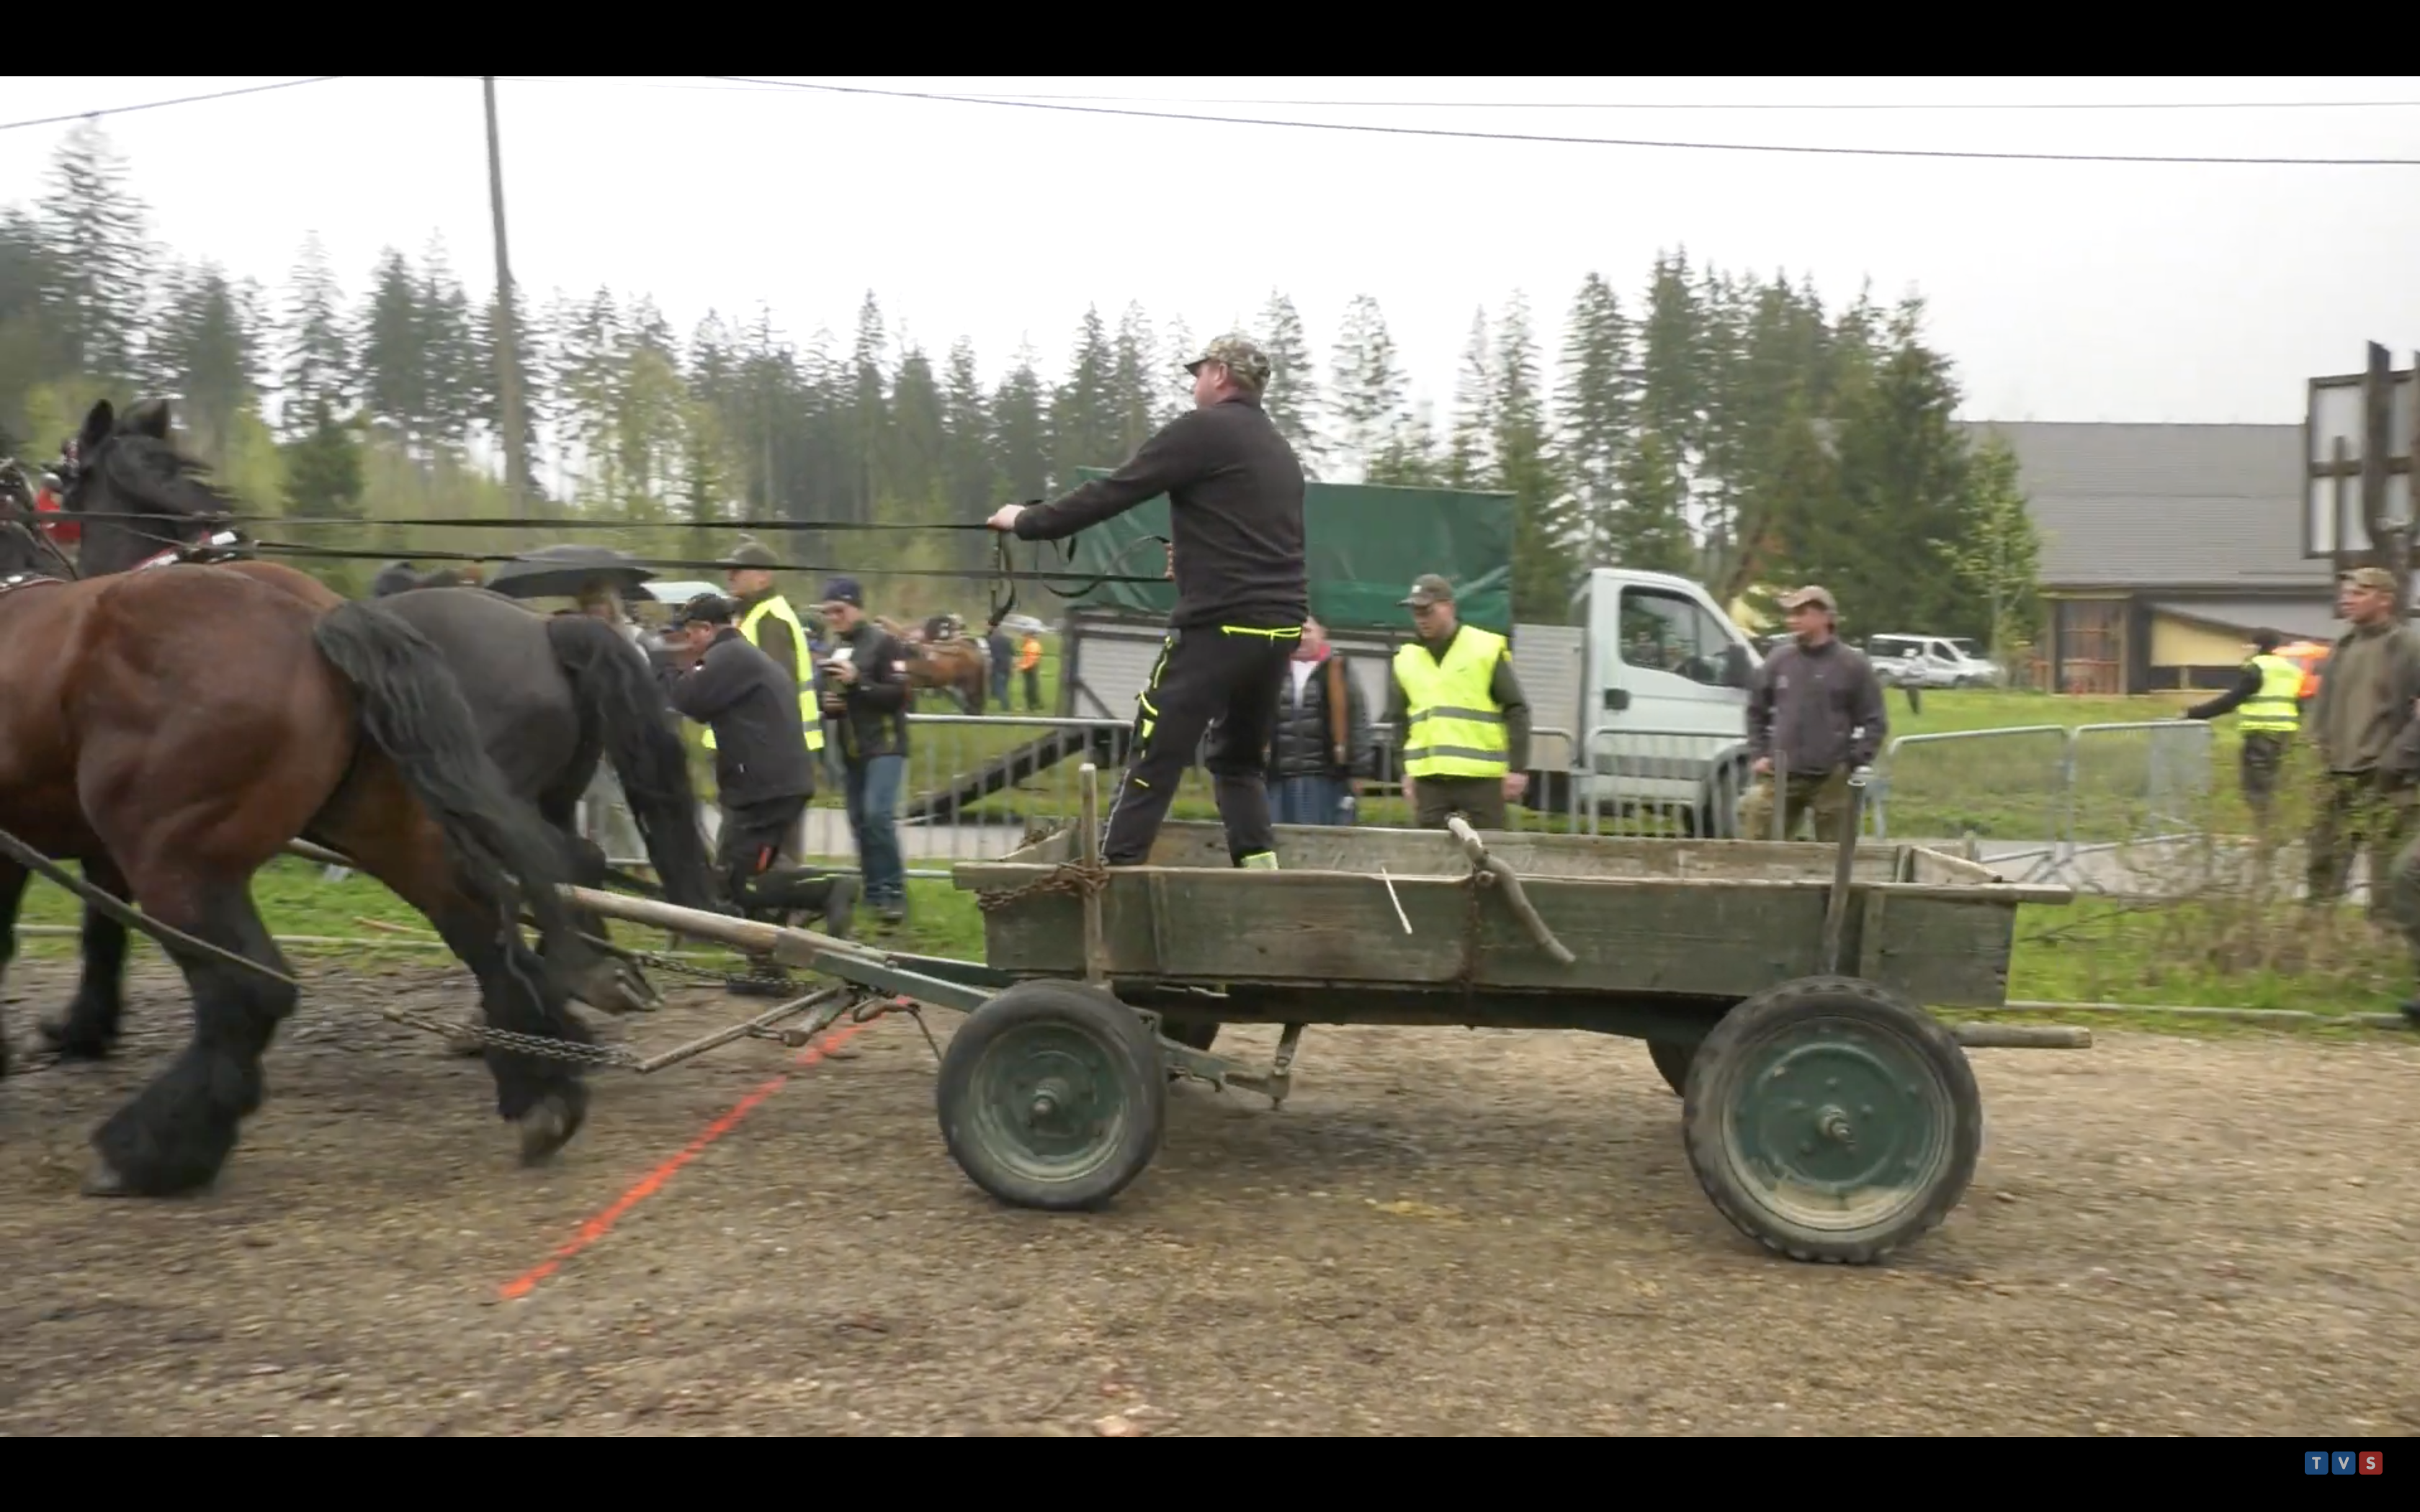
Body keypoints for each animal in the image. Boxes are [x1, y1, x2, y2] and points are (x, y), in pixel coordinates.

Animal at [0, 428, 600, 1205]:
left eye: (65, 477)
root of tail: (321, 620)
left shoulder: (71, 843)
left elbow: (90, 928)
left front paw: (70, 1034)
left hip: (177, 856)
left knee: (250, 990)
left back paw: (151, 1151)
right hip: (392, 825)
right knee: (494, 924)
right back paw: (547, 1078)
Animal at [6, 401, 725, 1059]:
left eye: (65, 470)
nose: (40, 522)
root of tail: (549, 629)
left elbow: (102, 915)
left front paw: (82, 1025)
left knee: (551, 865)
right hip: (546, 796)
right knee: (575, 865)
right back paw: (583, 977)